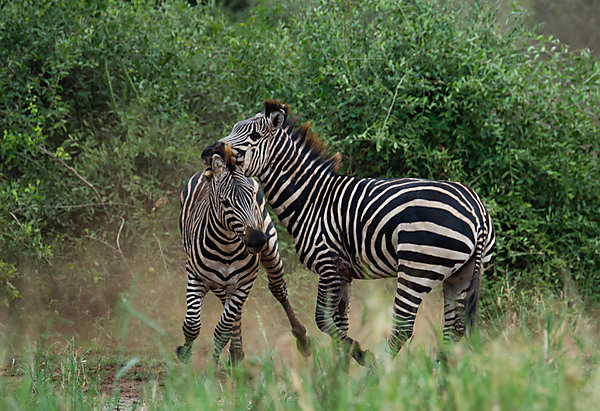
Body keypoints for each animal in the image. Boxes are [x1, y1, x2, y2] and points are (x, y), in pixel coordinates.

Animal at [176, 142, 312, 366]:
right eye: (225, 202)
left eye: (251, 199)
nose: (257, 240)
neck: (226, 247)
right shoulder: (195, 276)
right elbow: (192, 324)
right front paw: (185, 357)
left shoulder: (246, 281)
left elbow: (222, 329)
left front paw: (212, 370)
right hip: (221, 283)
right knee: (230, 305)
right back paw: (236, 351)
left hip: (270, 250)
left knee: (277, 289)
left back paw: (301, 339)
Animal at [212, 102, 496, 366]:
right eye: (234, 128)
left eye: (254, 136)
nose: (209, 151)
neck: (311, 199)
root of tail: (477, 212)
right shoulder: (344, 272)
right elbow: (339, 323)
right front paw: (339, 373)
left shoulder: (328, 264)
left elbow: (322, 319)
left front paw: (359, 356)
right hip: (461, 275)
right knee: (452, 330)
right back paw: (439, 376)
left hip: (417, 268)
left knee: (404, 328)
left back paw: (379, 371)